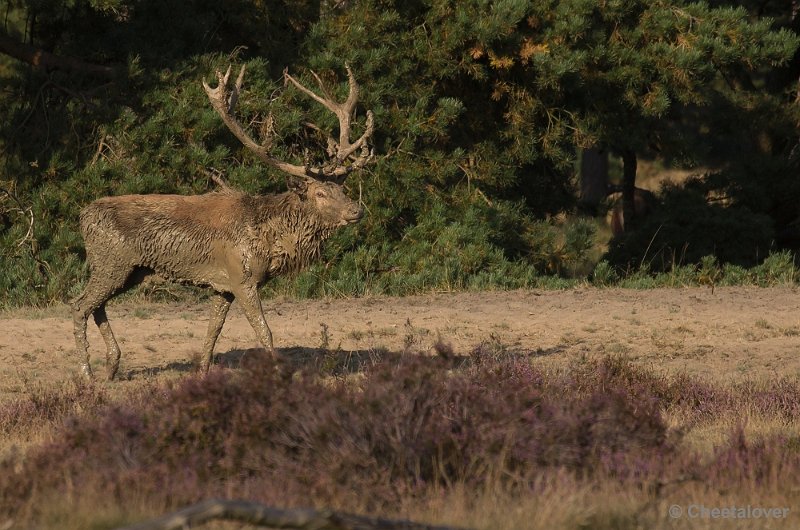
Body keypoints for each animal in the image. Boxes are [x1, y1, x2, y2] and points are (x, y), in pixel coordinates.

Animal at [72, 64, 376, 378]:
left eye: (342, 188)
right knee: (79, 305)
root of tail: (83, 216)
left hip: (129, 270)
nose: (356, 210)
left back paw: (112, 365)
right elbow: (264, 331)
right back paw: (86, 373)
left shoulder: (223, 285)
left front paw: (202, 372)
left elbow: (213, 331)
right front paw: (280, 373)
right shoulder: (241, 277)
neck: (269, 241)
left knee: (96, 306)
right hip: (111, 262)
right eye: (320, 193)